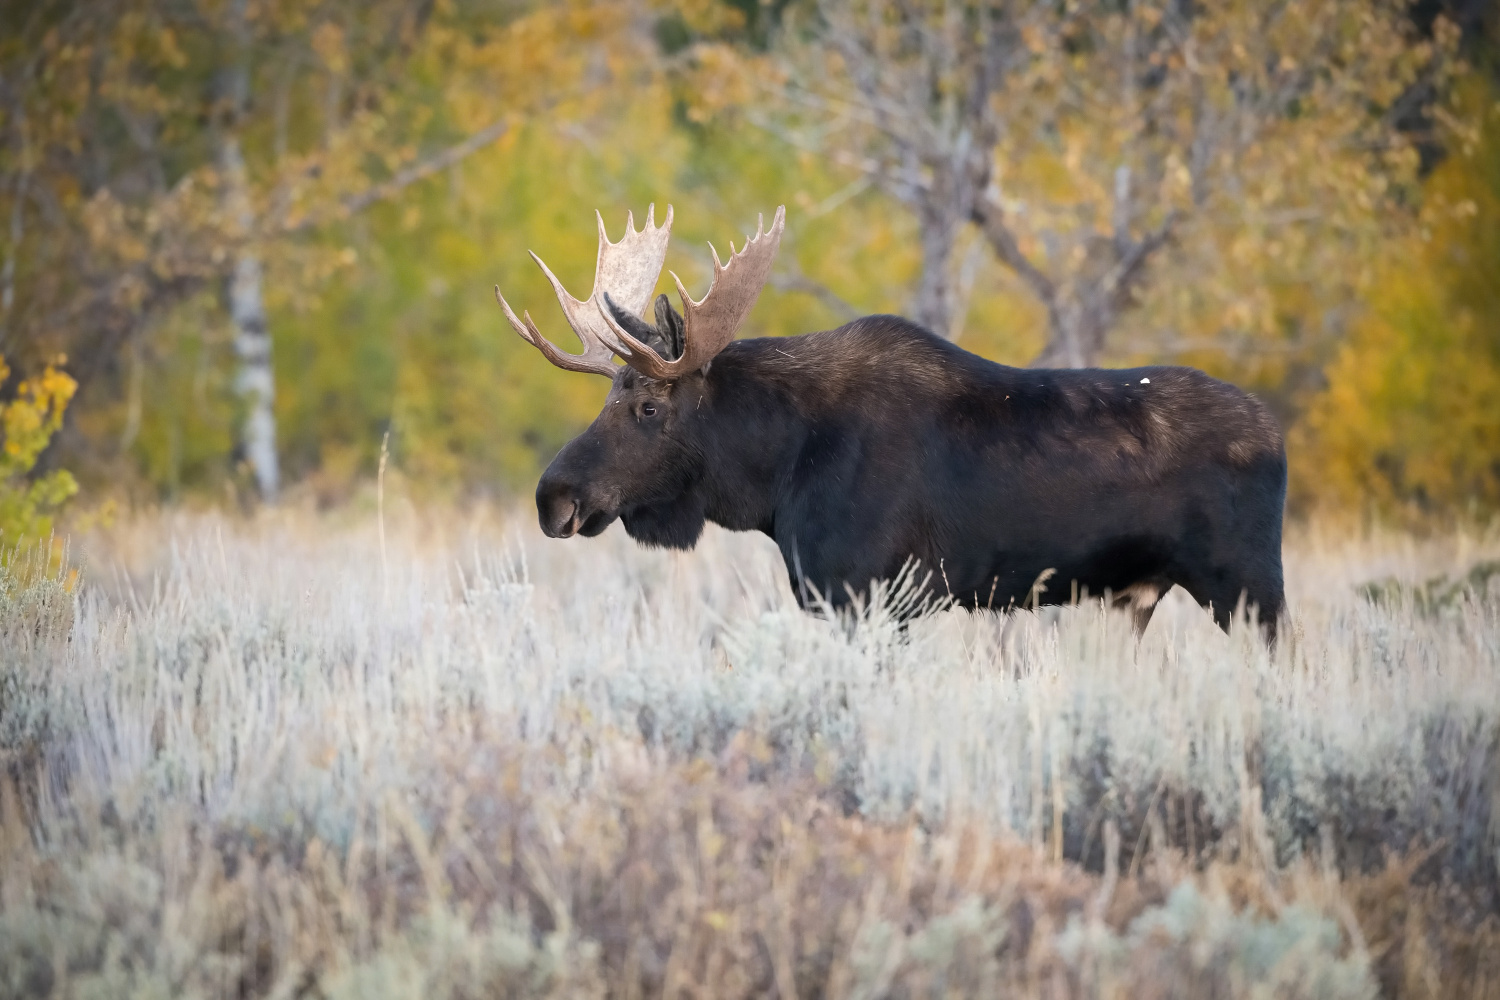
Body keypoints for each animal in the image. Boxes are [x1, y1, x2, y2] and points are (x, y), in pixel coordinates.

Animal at [495, 205, 1290, 641]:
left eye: (649, 406)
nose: (553, 497)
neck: (774, 480)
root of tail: (1278, 434)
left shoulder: (872, 593)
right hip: (1148, 595)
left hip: (1249, 583)